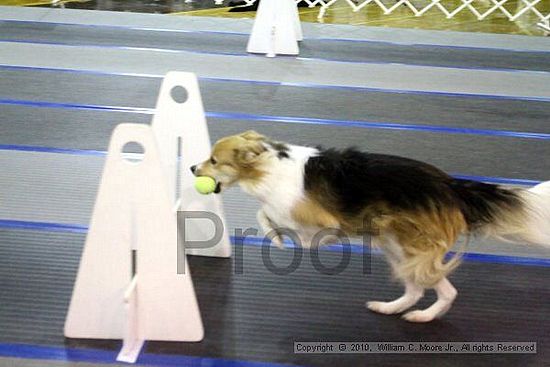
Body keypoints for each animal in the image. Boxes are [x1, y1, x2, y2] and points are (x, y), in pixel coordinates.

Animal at [192, 131, 548, 324]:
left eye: (214, 160)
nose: (193, 167)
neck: (267, 166)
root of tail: (451, 186)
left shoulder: (320, 222)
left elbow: (267, 216)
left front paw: (277, 238)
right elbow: (266, 214)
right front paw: (277, 236)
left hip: (410, 247)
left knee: (443, 290)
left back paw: (421, 315)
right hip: (396, 245)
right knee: (422, 289)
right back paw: (396, 309)